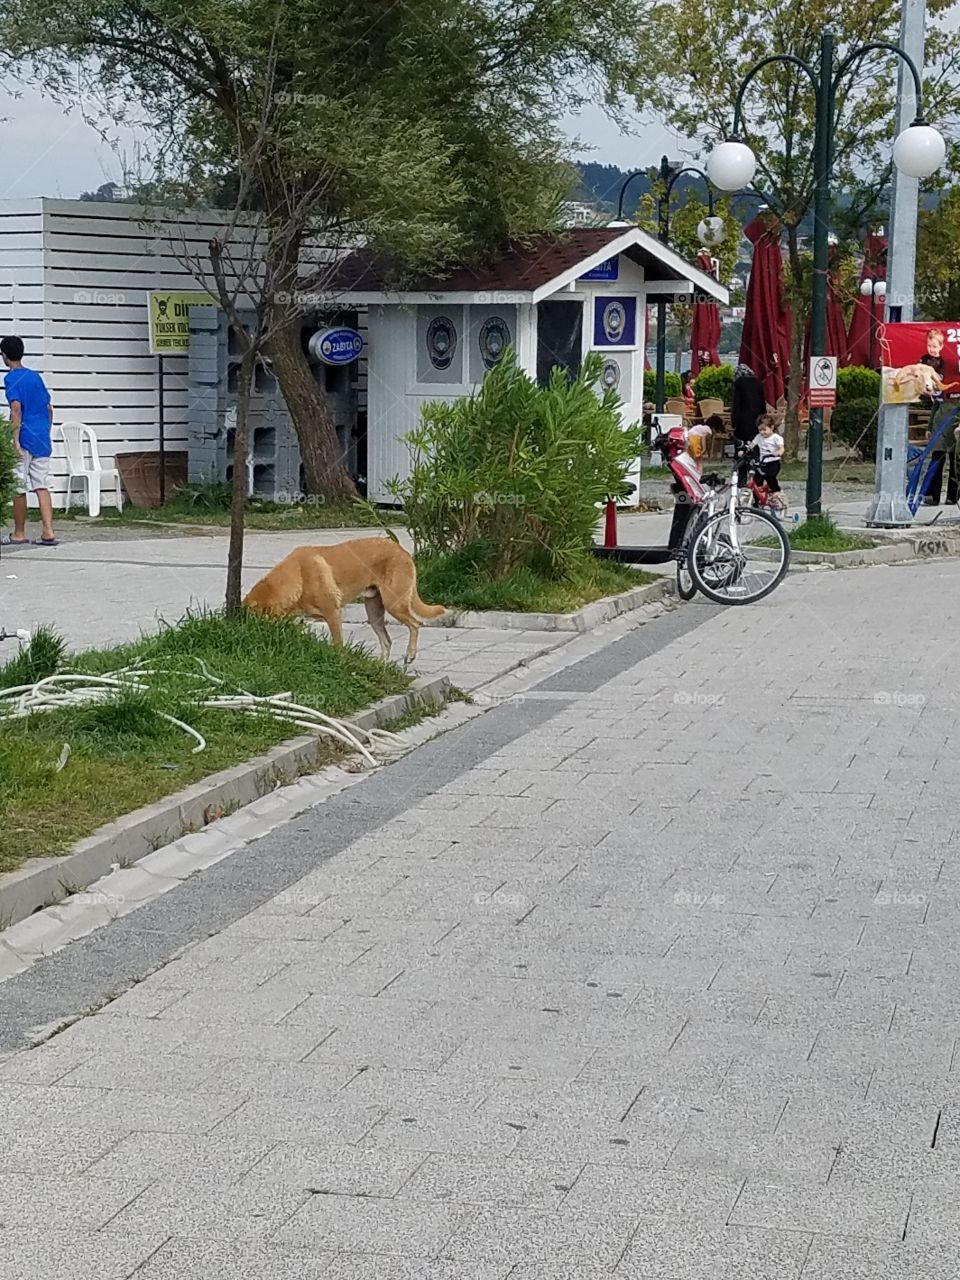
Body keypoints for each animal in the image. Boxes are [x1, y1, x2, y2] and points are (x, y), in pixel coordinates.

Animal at [244, 535, 448, 665]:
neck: (299, 575)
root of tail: (402, 551)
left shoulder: (333, 614)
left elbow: (337, 645)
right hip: (374, 613)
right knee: (387, 641)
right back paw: (381, 667)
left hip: (394, 604)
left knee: (415, 624)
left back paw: (410, 655)